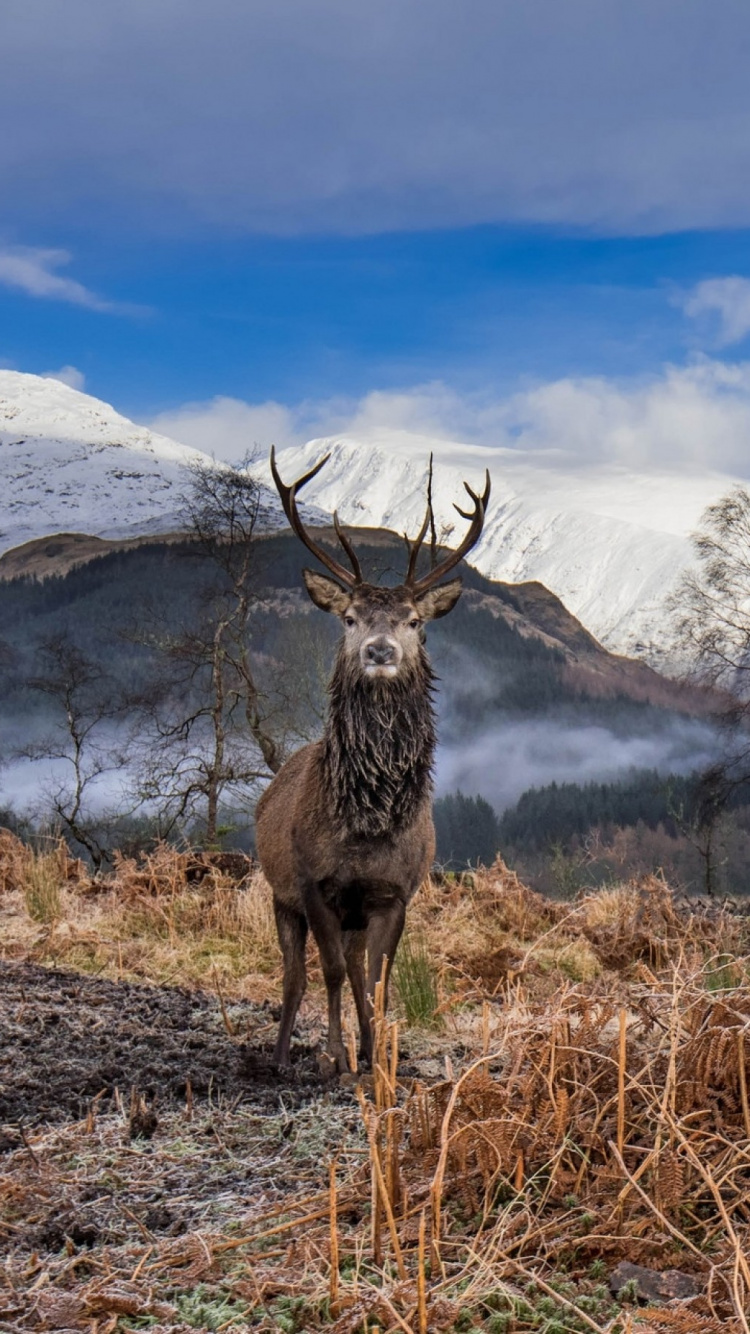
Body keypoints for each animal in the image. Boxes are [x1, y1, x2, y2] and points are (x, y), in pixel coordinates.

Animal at [254, 448, 491, 1072]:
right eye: (349, 617)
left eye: (414, 621)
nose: (379, 651)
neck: (368, 824)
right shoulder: (314, 884)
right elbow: (333, 973)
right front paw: (337, 1058)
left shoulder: (394, 892)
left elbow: (378, 980)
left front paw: (377, 1055)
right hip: (280, 894)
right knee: (297, 976)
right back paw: (283, 1056)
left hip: (354, 913)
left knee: (358, 969)